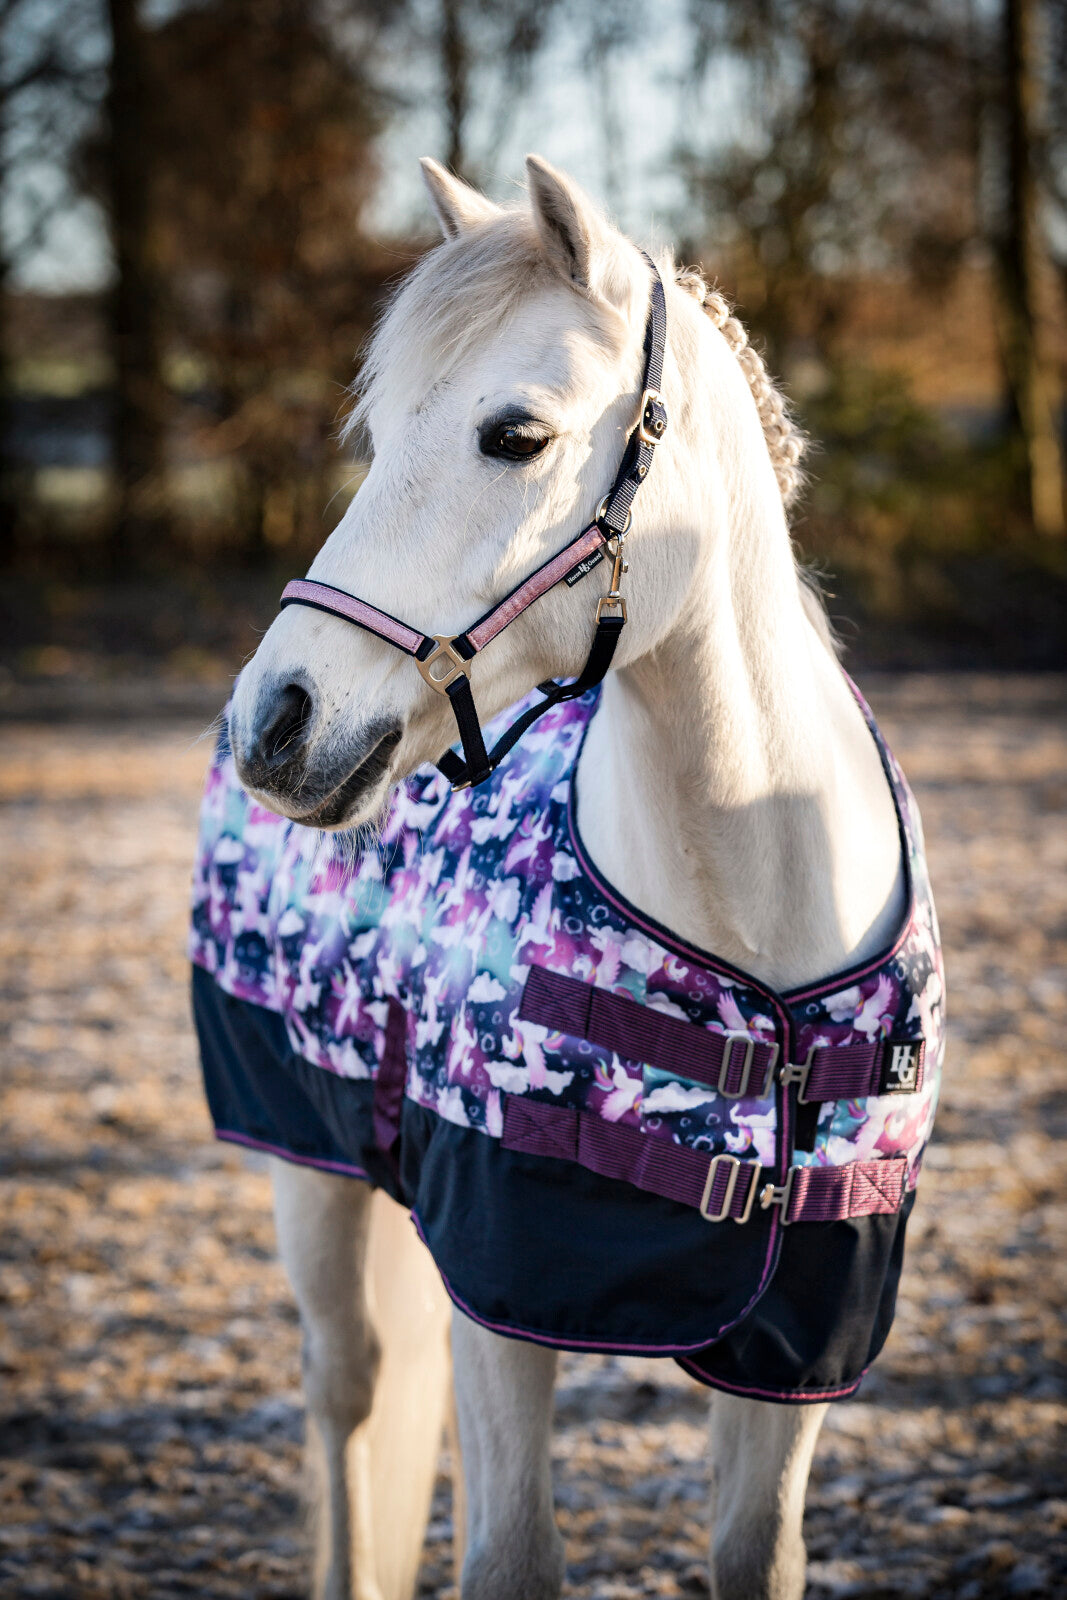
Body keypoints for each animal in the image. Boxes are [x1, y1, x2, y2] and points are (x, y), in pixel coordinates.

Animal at [193, 155, 942, 1600]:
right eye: (379, 429)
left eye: (514, 436)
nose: (276, 719)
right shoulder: (503, 1292)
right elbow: (509, 1557)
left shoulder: (800, 1343)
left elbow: (755, 1551)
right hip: (306, 1163)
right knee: (345, 1399)